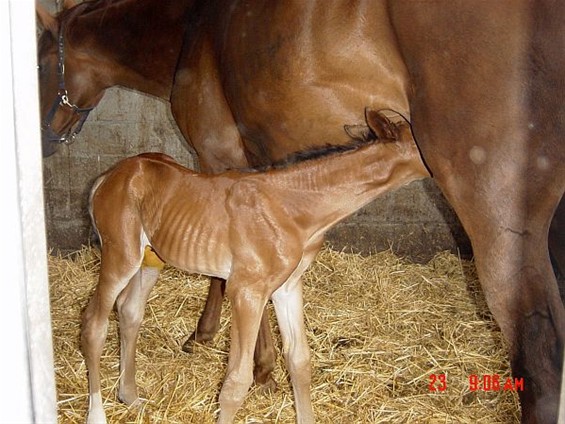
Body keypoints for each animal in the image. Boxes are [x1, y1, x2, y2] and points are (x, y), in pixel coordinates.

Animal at [81, 110, 430, 424]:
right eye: (420, 142)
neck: (294, 208)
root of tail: (108, 177)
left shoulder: (287, 287)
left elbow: (299, 360)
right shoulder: (246, 291)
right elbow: (236, 381)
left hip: (151, 260)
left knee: (129, 312)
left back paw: (129, 396)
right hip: (119, 255)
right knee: (94, 324)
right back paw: (97, 415)